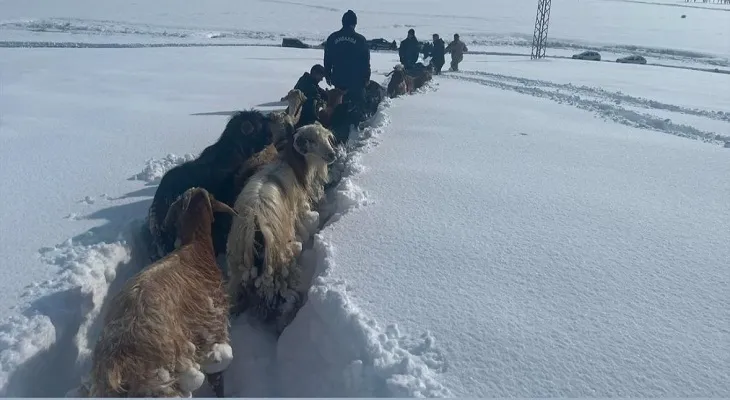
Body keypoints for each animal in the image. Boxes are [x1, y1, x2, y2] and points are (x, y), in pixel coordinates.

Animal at [226, 122, 336, 334]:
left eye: (327, 137)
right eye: (311, 141)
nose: (332, 154)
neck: (294, 167)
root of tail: (253, 228)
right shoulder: (299, 212)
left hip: (239, 270)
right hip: (279, 265)